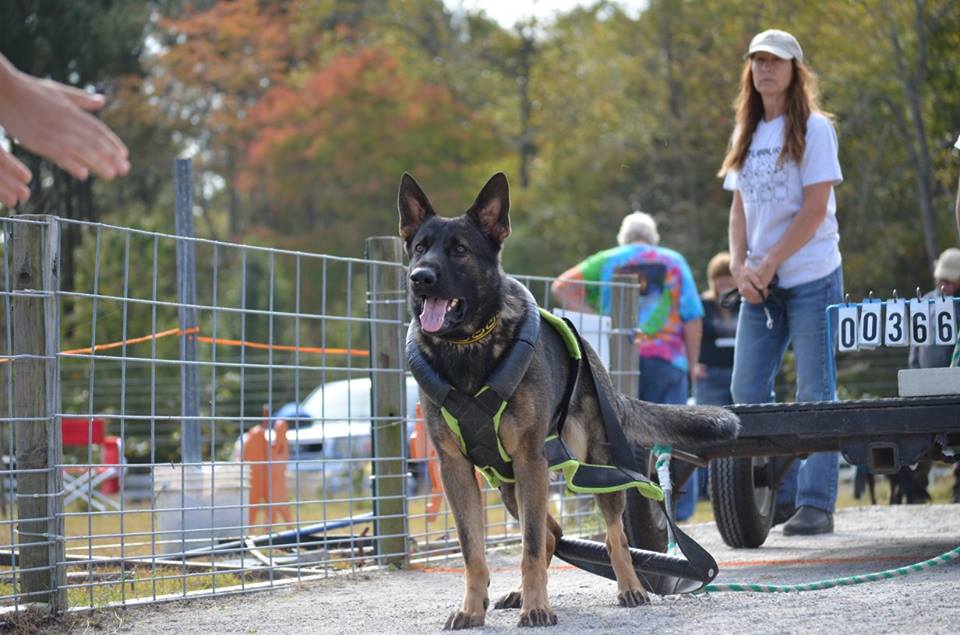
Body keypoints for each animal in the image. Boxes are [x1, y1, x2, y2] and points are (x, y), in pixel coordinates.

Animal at [402, 171, 740, 628]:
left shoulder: (529, 459)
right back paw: (520, 593)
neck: (469, 347)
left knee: (611, 536)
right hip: (510, 484)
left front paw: (537, 608)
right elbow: (474, 550)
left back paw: (630, 587)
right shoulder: (457, 469)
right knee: (552, 533)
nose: (420, 277)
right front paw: (474, 608)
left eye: (459, 250)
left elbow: (528, 548)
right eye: (420, 247)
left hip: (594, 467)